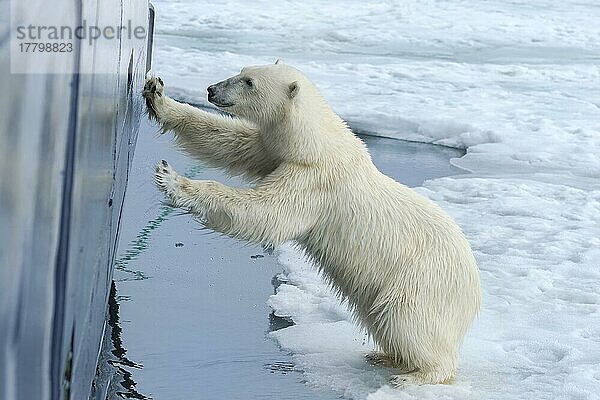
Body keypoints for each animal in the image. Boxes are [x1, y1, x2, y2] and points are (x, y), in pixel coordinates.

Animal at [143, 63, 480, 388]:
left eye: (249, 82)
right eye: (240, 71)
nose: (211, 89)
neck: (317, 143)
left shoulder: (315, 180)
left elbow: (266, 213)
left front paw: (173, 180)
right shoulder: (276, 152)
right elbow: (230, 141)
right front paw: (157, 96)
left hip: (420, 281)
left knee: (405, 319)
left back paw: (416, 374)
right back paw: (384, 356)